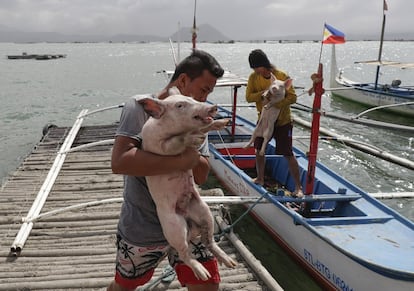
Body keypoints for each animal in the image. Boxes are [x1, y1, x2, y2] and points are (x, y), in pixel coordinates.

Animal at [138, 94, 236, 282]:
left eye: (191, 98)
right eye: (180, 105)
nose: (213, 107)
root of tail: (190, 222)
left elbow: (206, 127)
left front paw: (223, 122)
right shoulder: (158, 146)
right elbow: (176, 142)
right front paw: (194, 138)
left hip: (204, 211)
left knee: (208, 241)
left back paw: (230, 263)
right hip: (174, 227)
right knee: (184, 254)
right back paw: (203, 274)